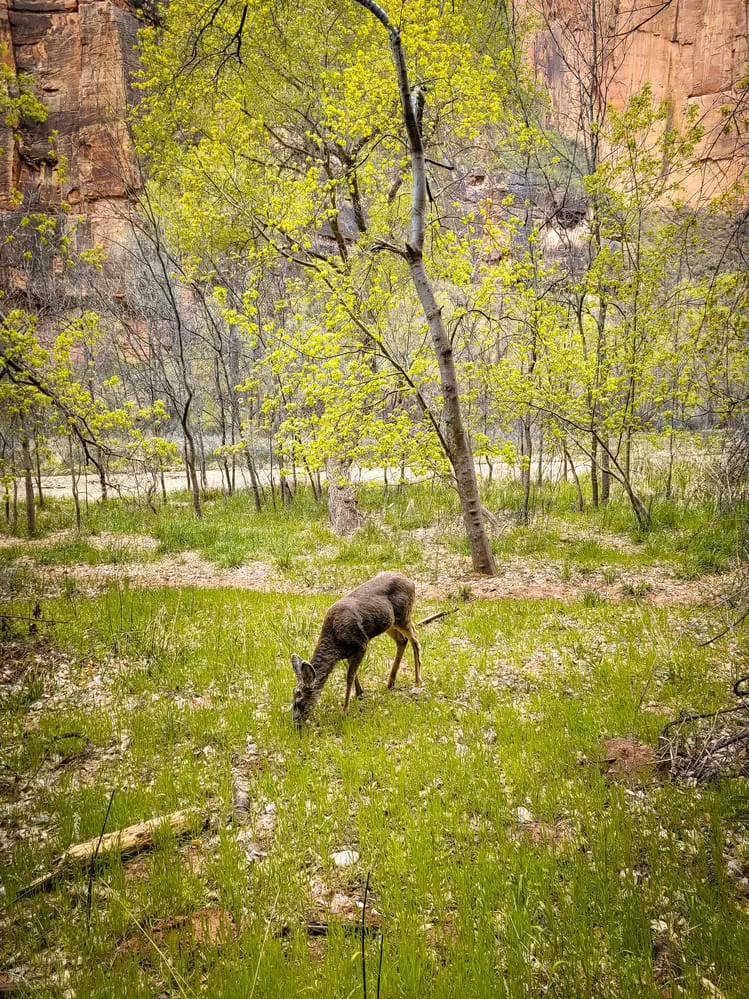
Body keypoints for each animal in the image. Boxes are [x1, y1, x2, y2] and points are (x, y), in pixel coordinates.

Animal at [290, 572, 420, 728]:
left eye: (300, 699)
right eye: (293, 695)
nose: (296, 723)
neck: (335, 642)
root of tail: (411, 582)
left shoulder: (361, 644)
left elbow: (349, 678)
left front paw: (344, 710)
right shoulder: (348, 653)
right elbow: (354, 674)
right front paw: (360, 693)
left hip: (403, 615)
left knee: (415, 637)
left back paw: (418, 682)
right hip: (390, 623)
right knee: (402, 641)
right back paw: (390, 683)